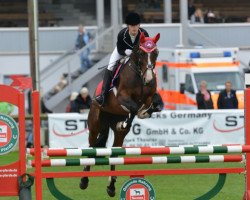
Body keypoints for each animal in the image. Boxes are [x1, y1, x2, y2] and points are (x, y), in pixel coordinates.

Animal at [79, 32, 160, 197]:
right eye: (141, 53)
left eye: (156, 53)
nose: (149, 79)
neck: (139, 74)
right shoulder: (122, 97)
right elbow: (134, 108)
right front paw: (125, 122)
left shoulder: (149, 97)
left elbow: (151, 103)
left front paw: (145, 112)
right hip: (95, 123)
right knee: (91, 148)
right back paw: (84, 181)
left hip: (116, 133)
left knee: (114, 154)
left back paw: (111, 186)